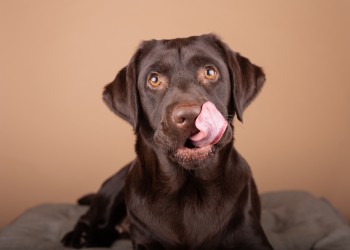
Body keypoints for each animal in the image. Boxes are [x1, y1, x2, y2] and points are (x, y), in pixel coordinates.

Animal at [60, 33, 274, 250]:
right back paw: (79, 236)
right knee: (90, 217)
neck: (190, 193)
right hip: (113, 188)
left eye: (210, 72)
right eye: (154, 79)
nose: (191, 116)